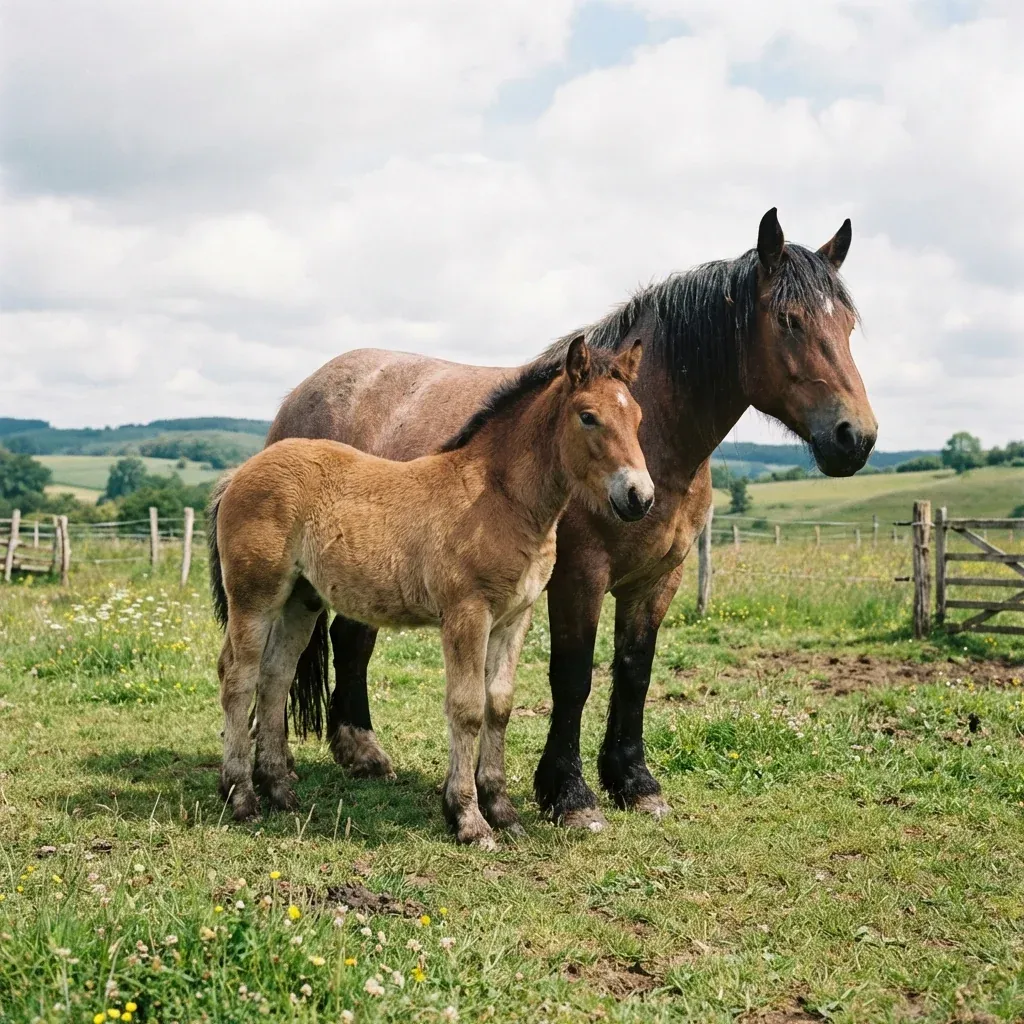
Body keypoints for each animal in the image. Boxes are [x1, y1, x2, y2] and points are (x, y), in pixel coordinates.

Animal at [207, 338, 653, 845]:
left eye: (638, 417)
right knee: (238, 676)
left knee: (275, 677)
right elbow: (467, 708)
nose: (639, 497)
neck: (498, 499)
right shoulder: (467, 613)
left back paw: (280, 790)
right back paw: (241, 796)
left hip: (302, 600)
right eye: (588, 416)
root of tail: (241, 472)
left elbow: (499, 705)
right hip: (255, 596)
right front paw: (468, 819)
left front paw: (502, 810)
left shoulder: (515, 617)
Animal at [269, 208, 878, 830]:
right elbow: (574, 676)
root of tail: (304, 391)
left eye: (849, 326)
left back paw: (359, 750)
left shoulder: (659, 579)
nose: (855, 438)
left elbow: (634, 673)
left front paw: (634, 782)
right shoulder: (577, 577)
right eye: (788, 320)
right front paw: (569, 793)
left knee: (352, 639)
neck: (657, 450)